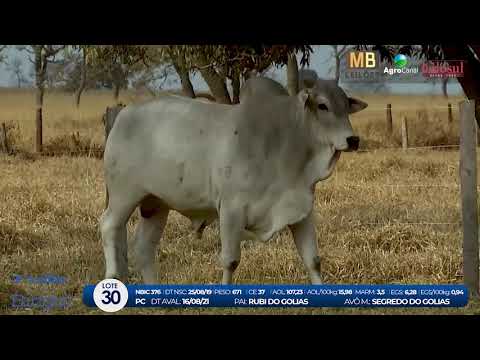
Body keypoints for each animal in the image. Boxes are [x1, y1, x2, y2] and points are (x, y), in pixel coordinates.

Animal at [99, 78, 366, 284]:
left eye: (345, 105)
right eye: (322, 105)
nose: (353, 140)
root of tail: (125, 113)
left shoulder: (300, 210)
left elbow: (313, 260)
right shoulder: (230, 209)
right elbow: (230, 261)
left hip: (155, 204)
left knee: (144, 248)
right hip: (124, 195)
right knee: (109, 226)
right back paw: (112, 275)